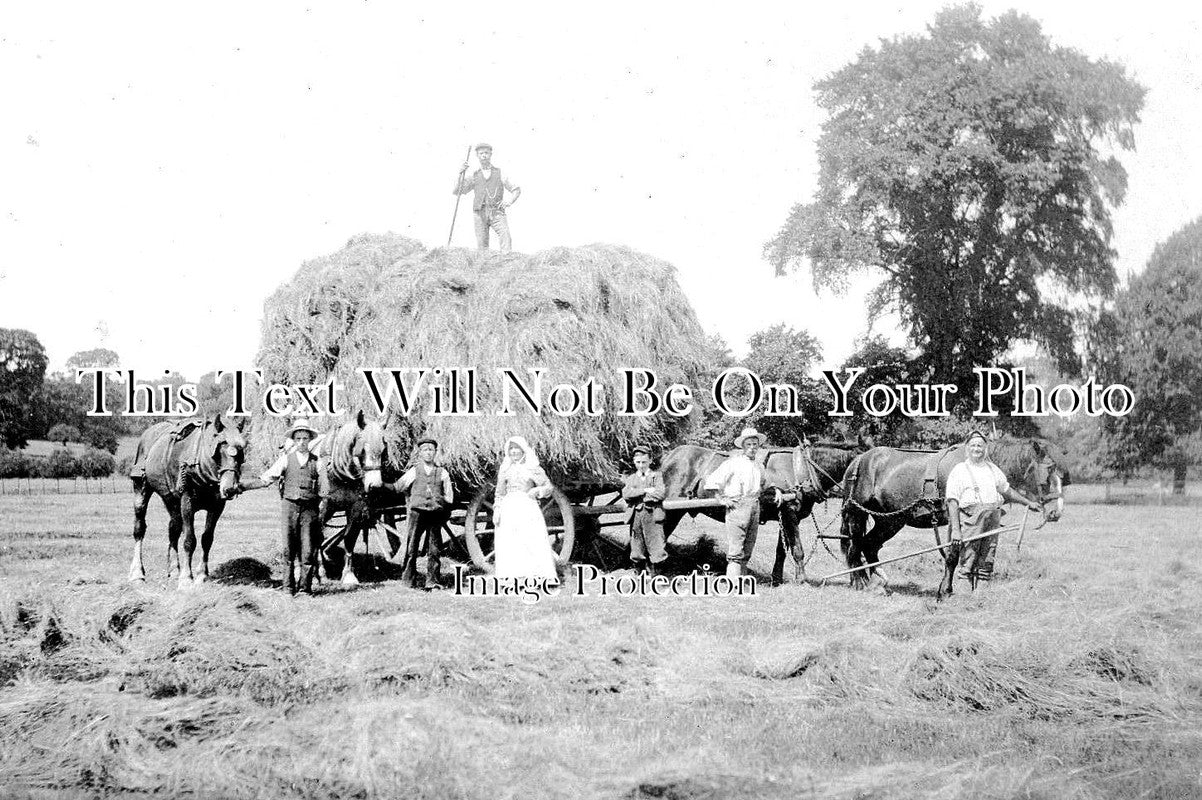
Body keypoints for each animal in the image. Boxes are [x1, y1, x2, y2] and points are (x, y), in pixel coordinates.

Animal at [129, 413, 248, 583]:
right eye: (219, 448)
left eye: (241, 451)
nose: (230, 488)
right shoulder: (187, 502)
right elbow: (189, 539)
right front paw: (186, 577)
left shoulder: (217, 506)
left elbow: (207, 539)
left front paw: (202, 574)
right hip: (140, 487)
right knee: (139, 528)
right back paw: (137, 573)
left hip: (171, 499)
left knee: (173, 529)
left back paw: (173, 569)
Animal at [658, 439, 865, 583]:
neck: (802, 470)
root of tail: (668, 457)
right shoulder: (790, 514)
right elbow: (797, 549)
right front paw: (802, 579)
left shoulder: (786, 516)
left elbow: (782, 550)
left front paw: (777, 579)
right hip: (671, 510)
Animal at [836, 437, 1072, 590]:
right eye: (1048, 471)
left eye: (1062, 474)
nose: (1056, 512)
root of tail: (858, 460)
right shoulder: (954, 518)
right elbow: (953, 555)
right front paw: (945, 591)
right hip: (857, 513)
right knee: (855, 546)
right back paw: (859, 582)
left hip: (891, 520)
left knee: (869, 545)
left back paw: (878, 581)